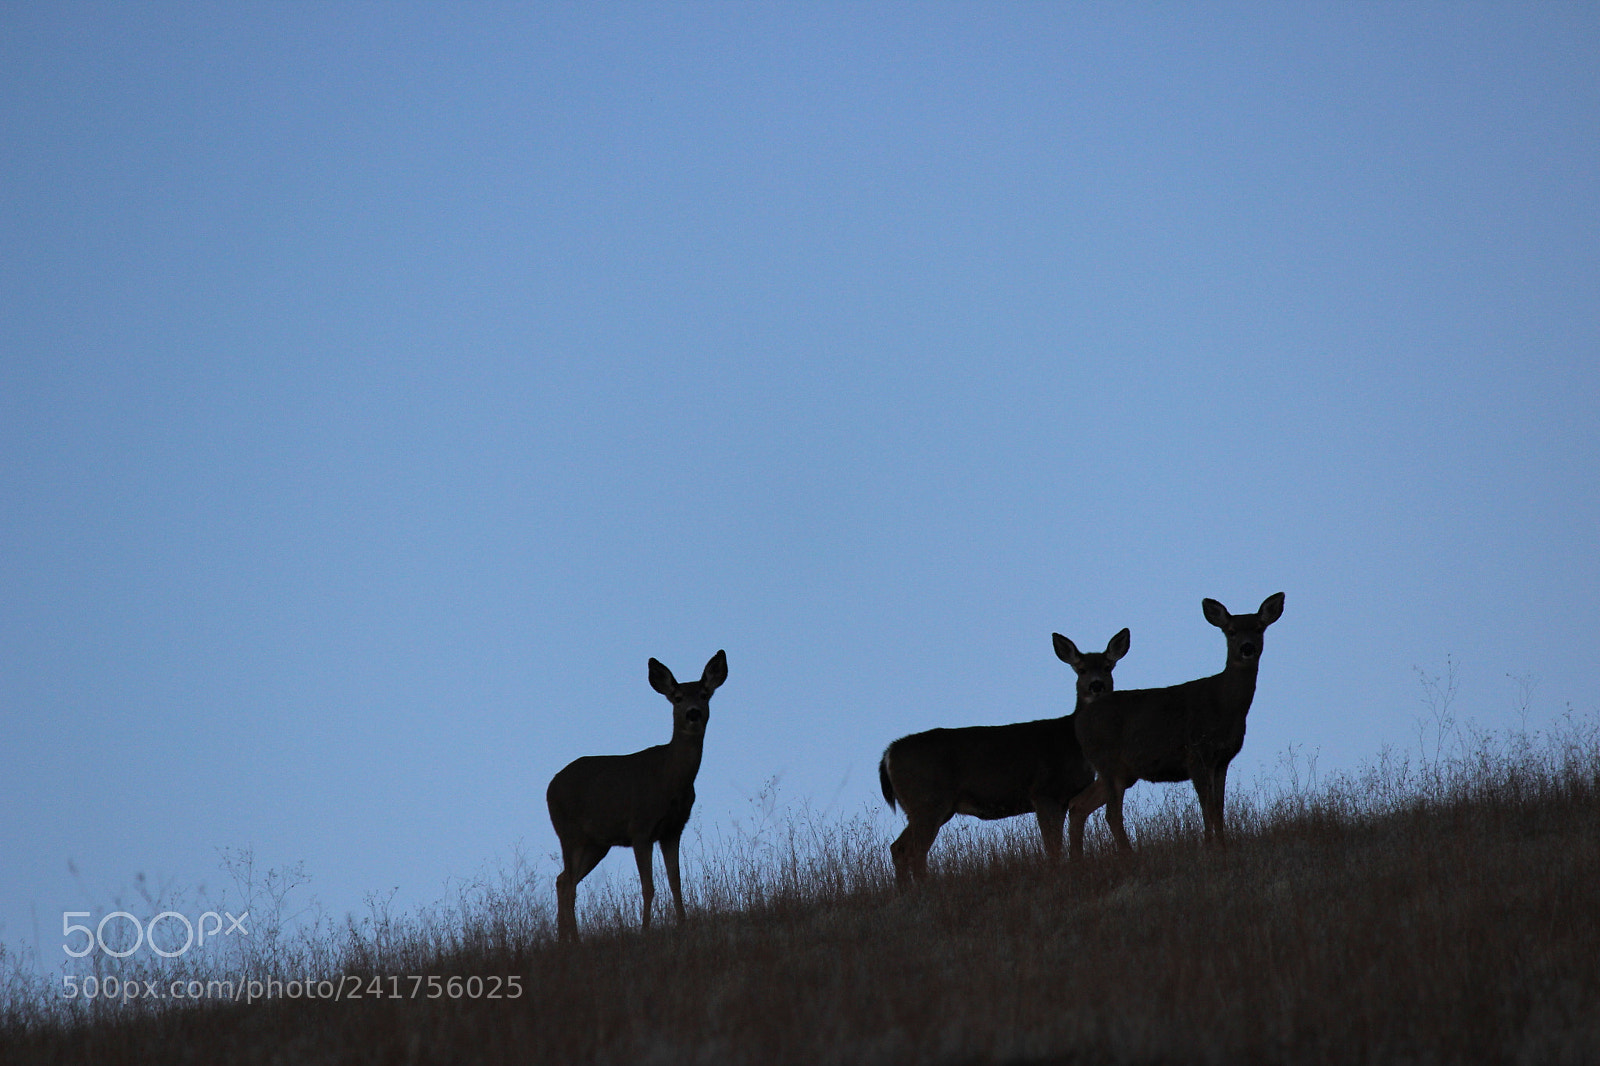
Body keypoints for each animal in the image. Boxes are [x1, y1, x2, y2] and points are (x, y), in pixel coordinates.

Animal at [546, 650, 727, 942]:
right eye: (677, 698)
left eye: (704, 694)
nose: (693, 714)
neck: (669, 779)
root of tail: (550, 786)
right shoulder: (640, 829)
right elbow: (648, 886)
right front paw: (645, 930)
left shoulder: (673, 829)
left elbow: (676, 881)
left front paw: (683, 924)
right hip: (569, 832)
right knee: (569, 883)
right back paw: (574, 941)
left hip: (597, 843)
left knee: (563, 880)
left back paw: (565, 941)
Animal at [877, 629, 1130, 888]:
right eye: (1080, 669)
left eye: (1108, 666)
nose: (1097, 685)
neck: (1073, 741)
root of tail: (888, 755)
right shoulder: (1043, 792)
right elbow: (1052, 848)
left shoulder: (1062, 799)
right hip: (928, 800)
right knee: (916, 851)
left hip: (926, 807)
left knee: (899, 848)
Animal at [1069, 592, 1284, 856]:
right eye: (1231, 631)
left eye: (1259, 628)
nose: (1247, 648)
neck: (1224, 706)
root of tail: (1080, 720)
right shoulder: (1195, 754)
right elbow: (1207, 807)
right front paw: (1208, 846)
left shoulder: (1221, 760)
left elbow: (1219, 808)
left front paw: (1223, 846)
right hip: (1107, 762)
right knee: (1111, 814)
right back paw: (1128, 856)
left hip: (1120, 771)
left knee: (1078, 805)